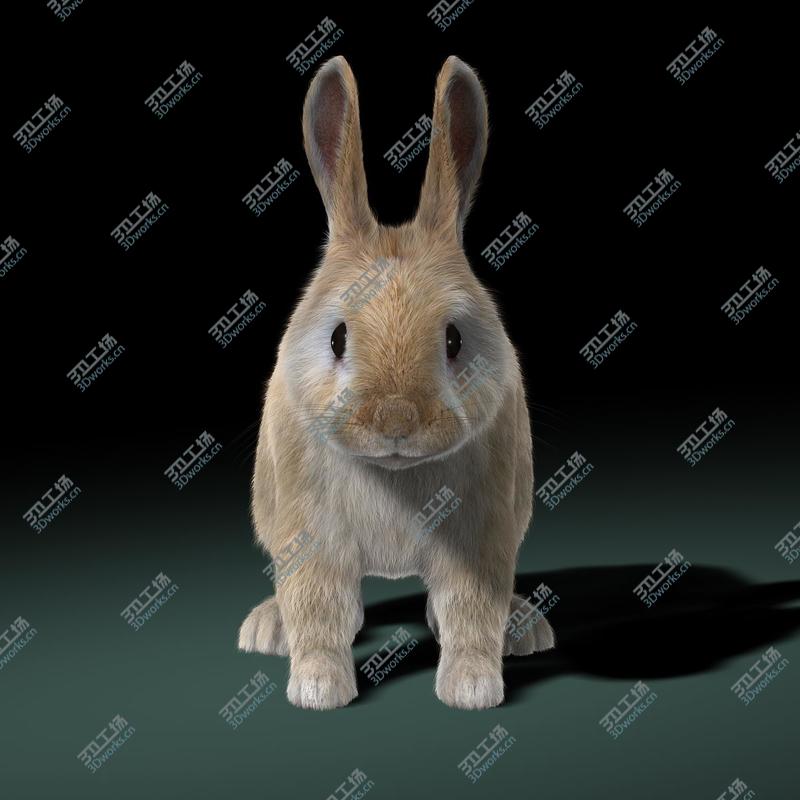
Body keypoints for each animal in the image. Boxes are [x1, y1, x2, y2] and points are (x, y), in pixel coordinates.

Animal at [237, 54, 554, 710]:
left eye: (454, 339)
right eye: (337, 337)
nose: (396, 420)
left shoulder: (479, 539)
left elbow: (470, 611)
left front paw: (473, 688)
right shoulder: (311, 538)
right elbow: (318, 609)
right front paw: (317, 688)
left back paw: (524, 628)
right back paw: (267, 628)